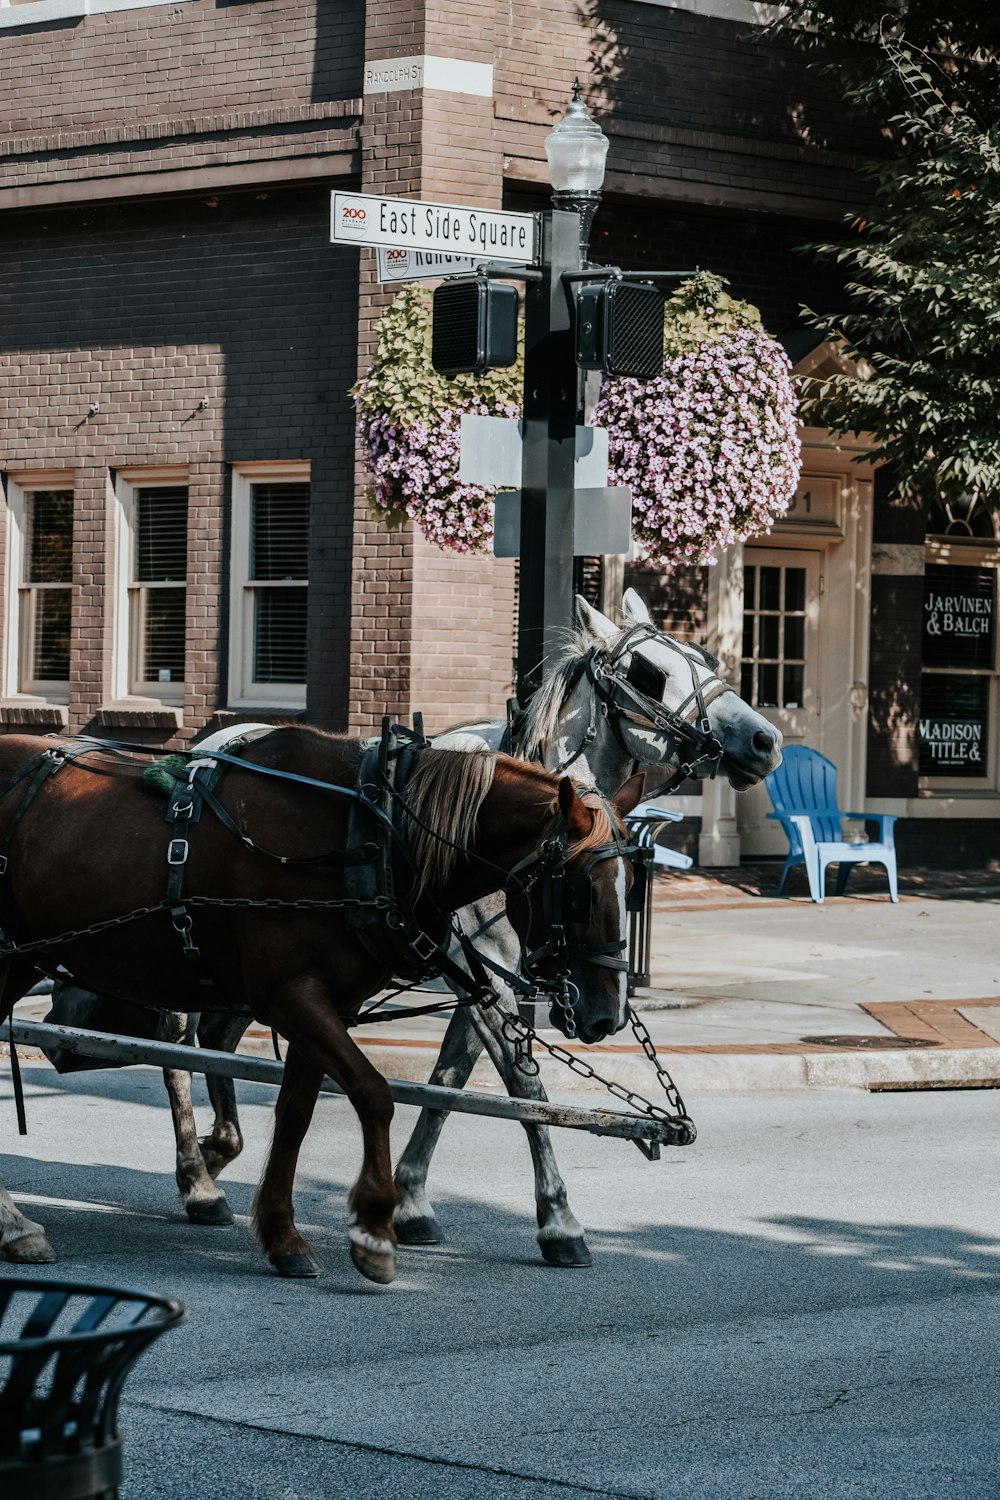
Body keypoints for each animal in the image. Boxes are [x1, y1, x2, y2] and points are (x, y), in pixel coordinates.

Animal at [0, 726, 641, 1278]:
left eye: (630, 885)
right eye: (580, 890)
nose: (607, 1014)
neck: (370, 835)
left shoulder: (323, 1002)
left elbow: (296, 1114)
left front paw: (283, 1234)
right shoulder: (292, 995)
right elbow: (374, 1095)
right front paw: (375, 1230)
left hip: (24, 958)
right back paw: (23, 1222)